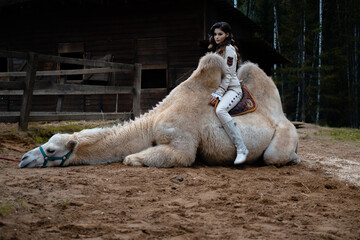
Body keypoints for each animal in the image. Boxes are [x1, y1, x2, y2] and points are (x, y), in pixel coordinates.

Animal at [20, 53, 300, 168]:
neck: (152, 123)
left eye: (52, 150)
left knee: (274, 156)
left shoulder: (182, 142)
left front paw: (133, 158)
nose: (23, 159)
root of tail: (283, 116)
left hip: (283, 136)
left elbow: (168, 156)